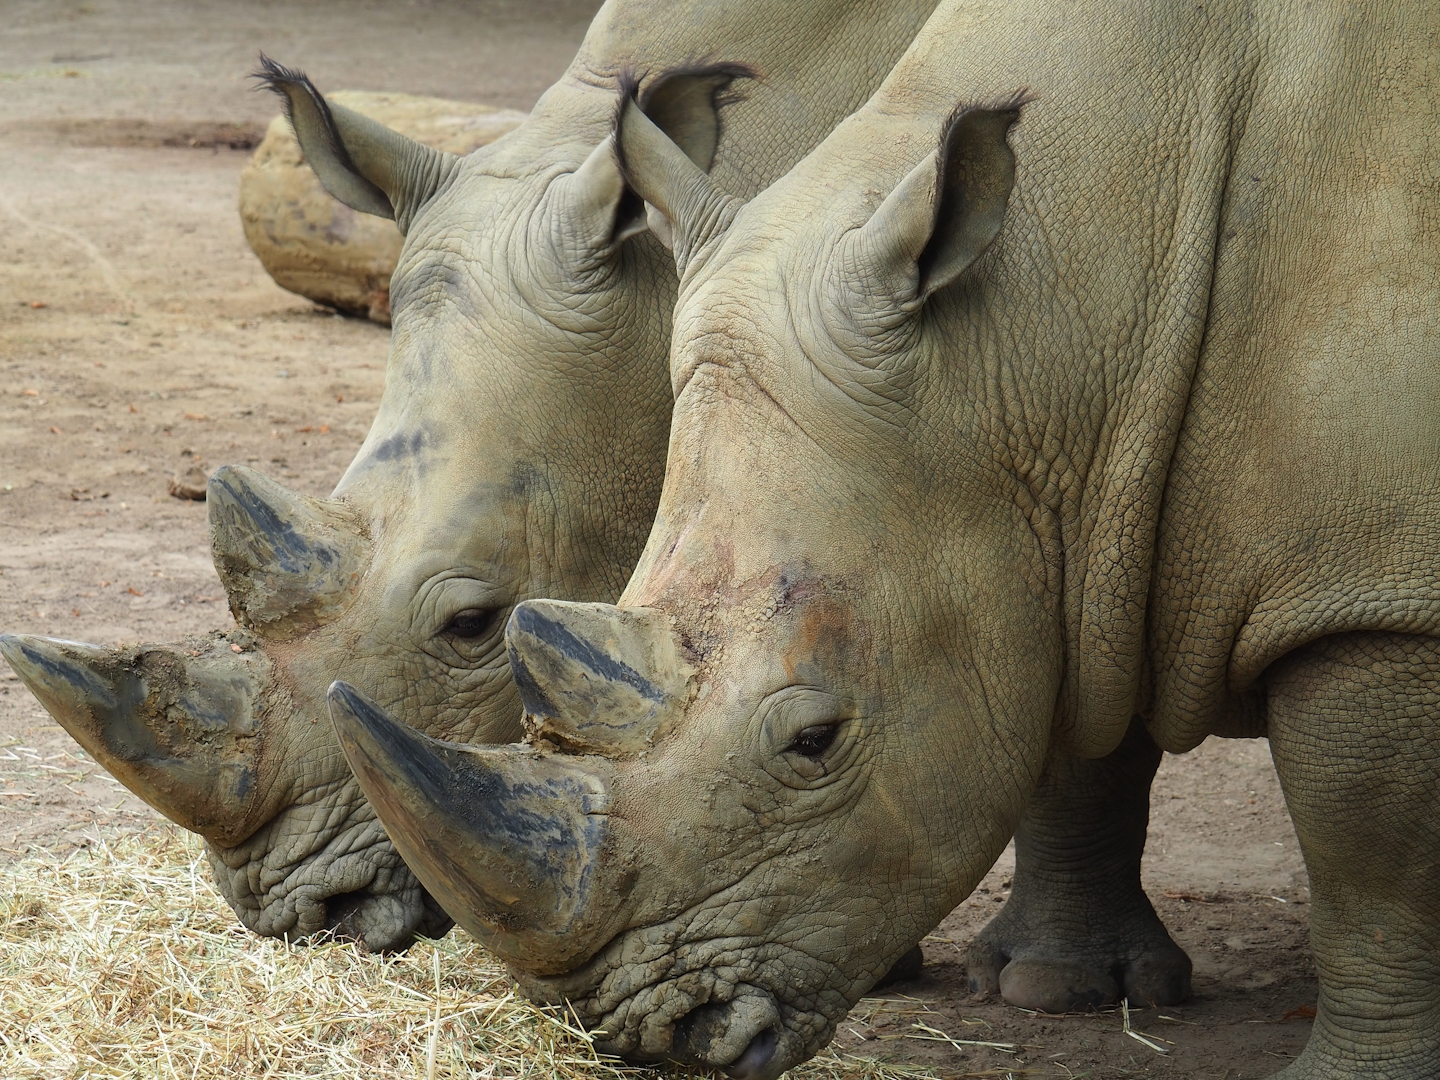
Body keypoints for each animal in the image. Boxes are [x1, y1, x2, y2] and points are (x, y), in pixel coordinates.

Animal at [330, 0, 1440, 1075]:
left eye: (817, 740)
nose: (660, 1037)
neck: (1055, 318)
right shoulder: (1074, 507)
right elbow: (1078, 728)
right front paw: (1061, 990)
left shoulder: (1374, 595)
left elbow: (1372, 852)